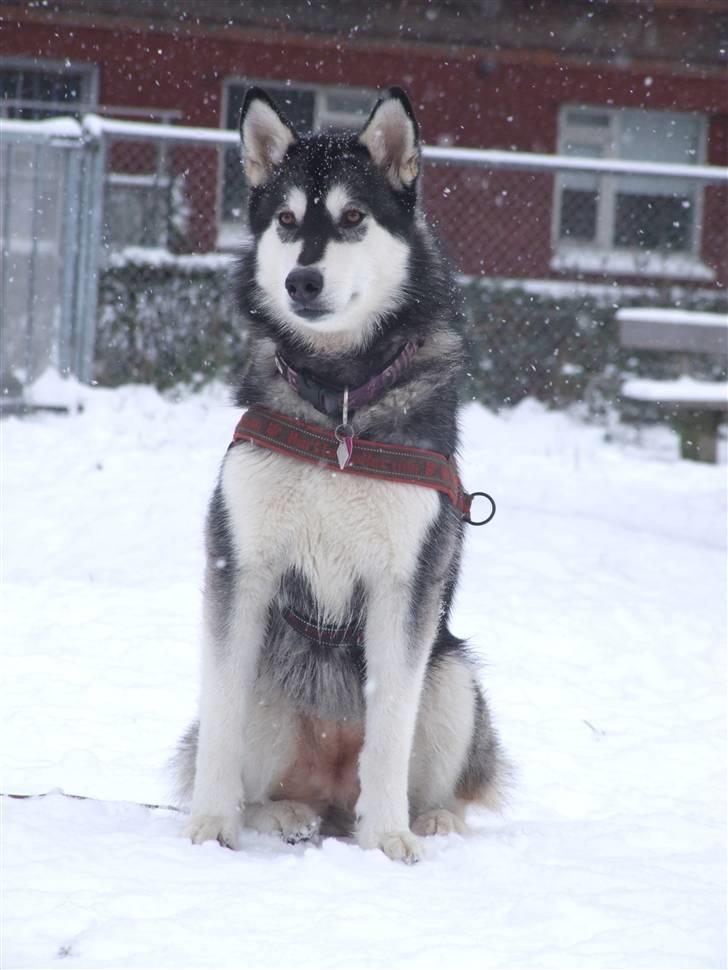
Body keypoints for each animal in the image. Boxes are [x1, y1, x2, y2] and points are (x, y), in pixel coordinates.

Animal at [175, 81, 506, 856]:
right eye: (287, 220)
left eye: (354, 217)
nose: (303, 279)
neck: (340, 407)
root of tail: (326, 795)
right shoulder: (239, 565)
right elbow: (221, 717)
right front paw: (210, 824)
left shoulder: (405, 587)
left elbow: (389, 730)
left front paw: (388, 839)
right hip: (273, 681)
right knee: (260, 777)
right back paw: (277, 815)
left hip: (453, 677)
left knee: (434, 766)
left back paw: (431, 819)